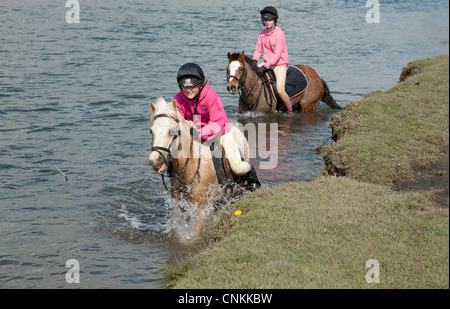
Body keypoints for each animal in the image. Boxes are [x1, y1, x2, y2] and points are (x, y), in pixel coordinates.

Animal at [149, 97, 251, 230]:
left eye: (172, 131)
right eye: (151, 131)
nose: (155, 161)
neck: (188, 166)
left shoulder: (202, 208)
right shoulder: (181, 206)